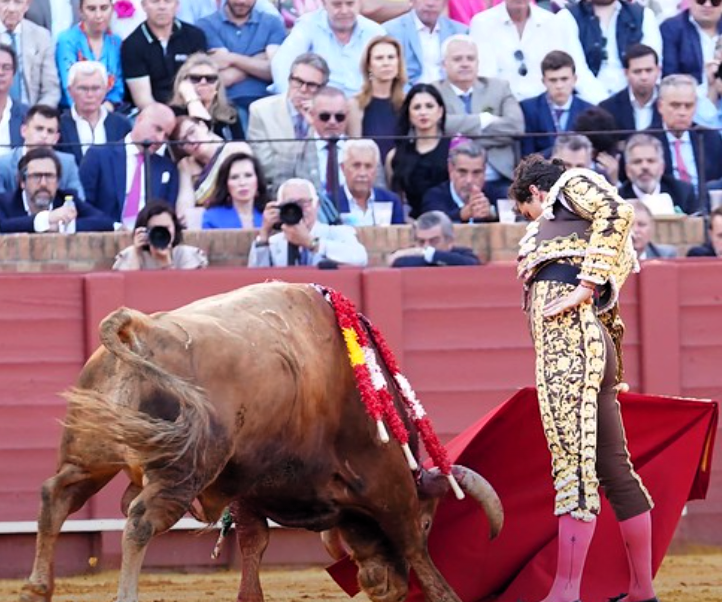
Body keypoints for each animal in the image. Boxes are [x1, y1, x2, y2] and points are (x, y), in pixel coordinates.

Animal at [21, 282, 500, 600]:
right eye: (430, 519)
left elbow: (253, 546)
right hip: (183, 472)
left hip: (90, 454)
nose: (387, 586)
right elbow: (417, 549)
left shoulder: (248, 491)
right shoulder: (389, 486)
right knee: (139, 521)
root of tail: (137, 329)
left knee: (56, 496)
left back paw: (37, 589)